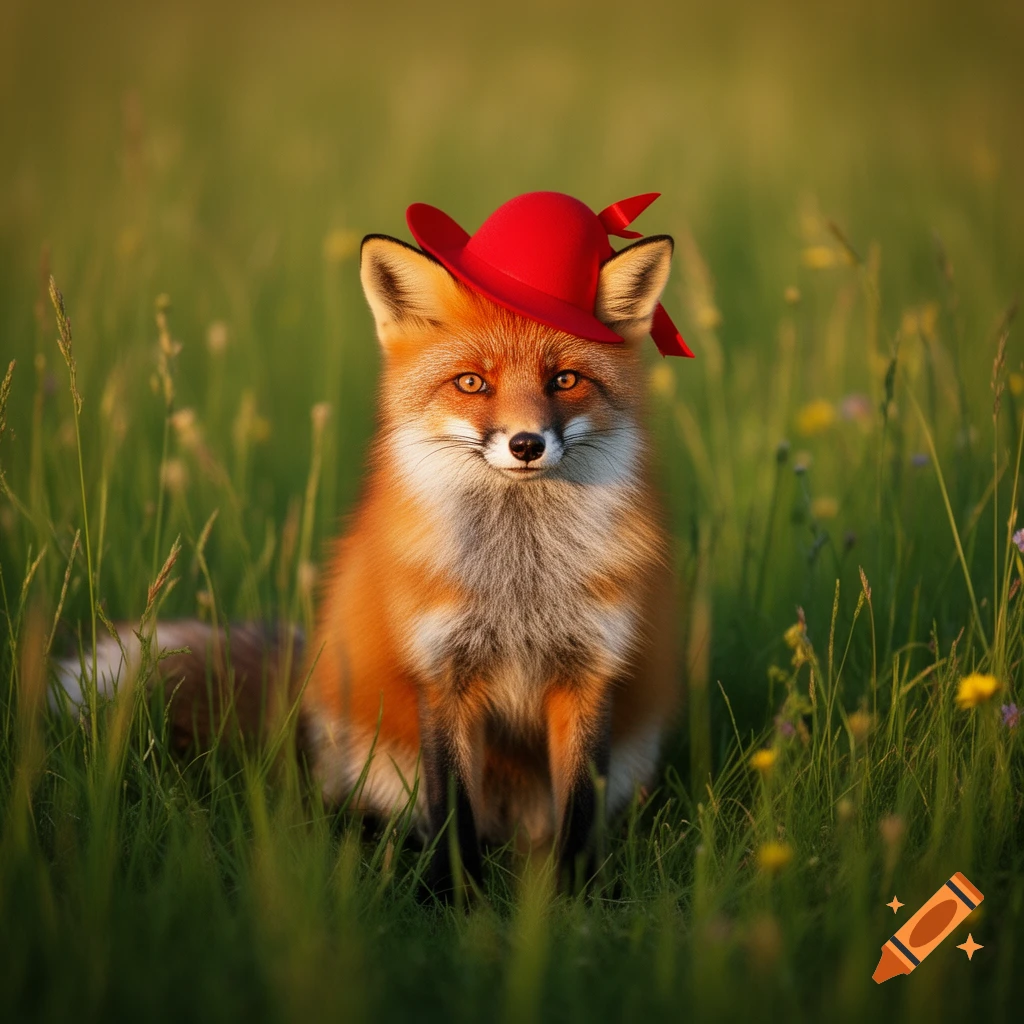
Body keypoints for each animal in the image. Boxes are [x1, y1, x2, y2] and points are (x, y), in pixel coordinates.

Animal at [55, 210, 682, 893]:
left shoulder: (588, 673)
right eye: (472, 383)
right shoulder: (443, 674)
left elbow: (580, 809)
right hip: (377, 765)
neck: (520, 580)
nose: (525, 444)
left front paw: (577, 896)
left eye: (564, 379)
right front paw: (455, 897)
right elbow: (451, 807)